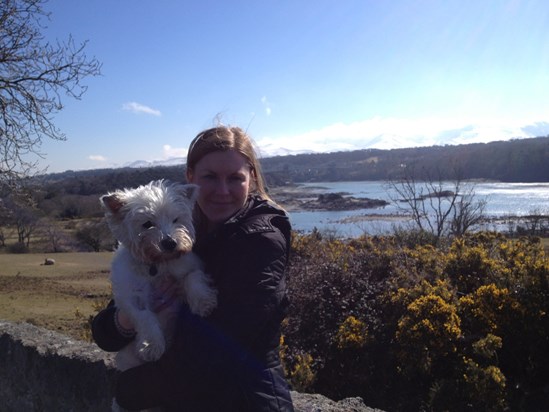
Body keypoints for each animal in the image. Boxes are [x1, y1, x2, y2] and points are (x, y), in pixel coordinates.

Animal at [100, 179, 216, 372]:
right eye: (147, 224)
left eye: (175, 219)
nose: (170, 243)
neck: (157, 265)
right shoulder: (132, 299)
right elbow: (146, 317)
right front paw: (151, 346)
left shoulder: (190, 266)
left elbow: (193, 278)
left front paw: (203, 302)